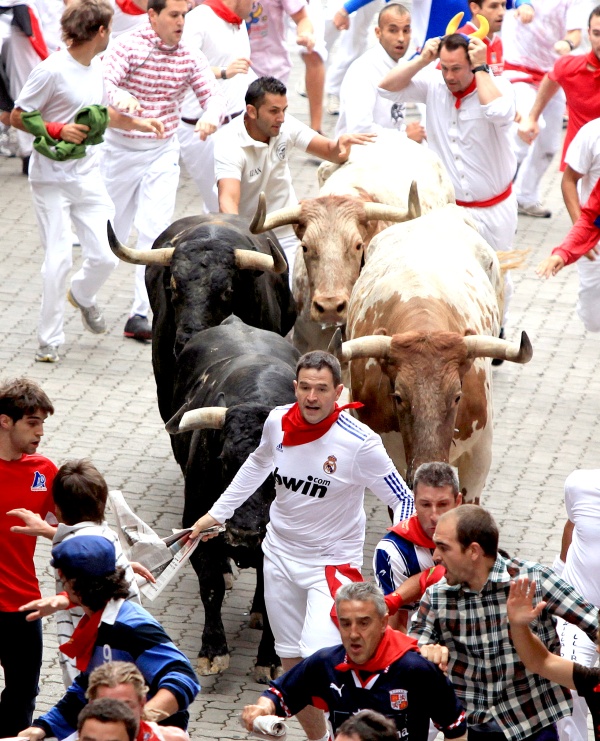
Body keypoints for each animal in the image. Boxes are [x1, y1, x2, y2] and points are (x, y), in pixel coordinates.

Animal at [165, 316, 298, 680]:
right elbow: (211, 586)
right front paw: (213, 652)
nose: (245, 532)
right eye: (224, 460)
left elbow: (271, 596)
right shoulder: (196, 529)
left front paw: (270, 658)